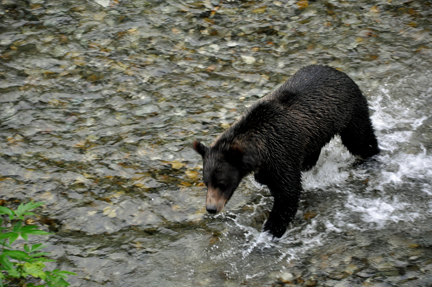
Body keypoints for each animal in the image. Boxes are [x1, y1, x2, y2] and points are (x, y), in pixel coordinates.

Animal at [192, 64, 378, 238]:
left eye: (221, 183)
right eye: (206, 182)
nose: (211, 208)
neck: (261, 149)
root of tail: (339, 72)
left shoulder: (282, 150)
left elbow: (288, 192)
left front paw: (272, 229)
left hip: (350, 113)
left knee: (361, 139)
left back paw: (370, 158)